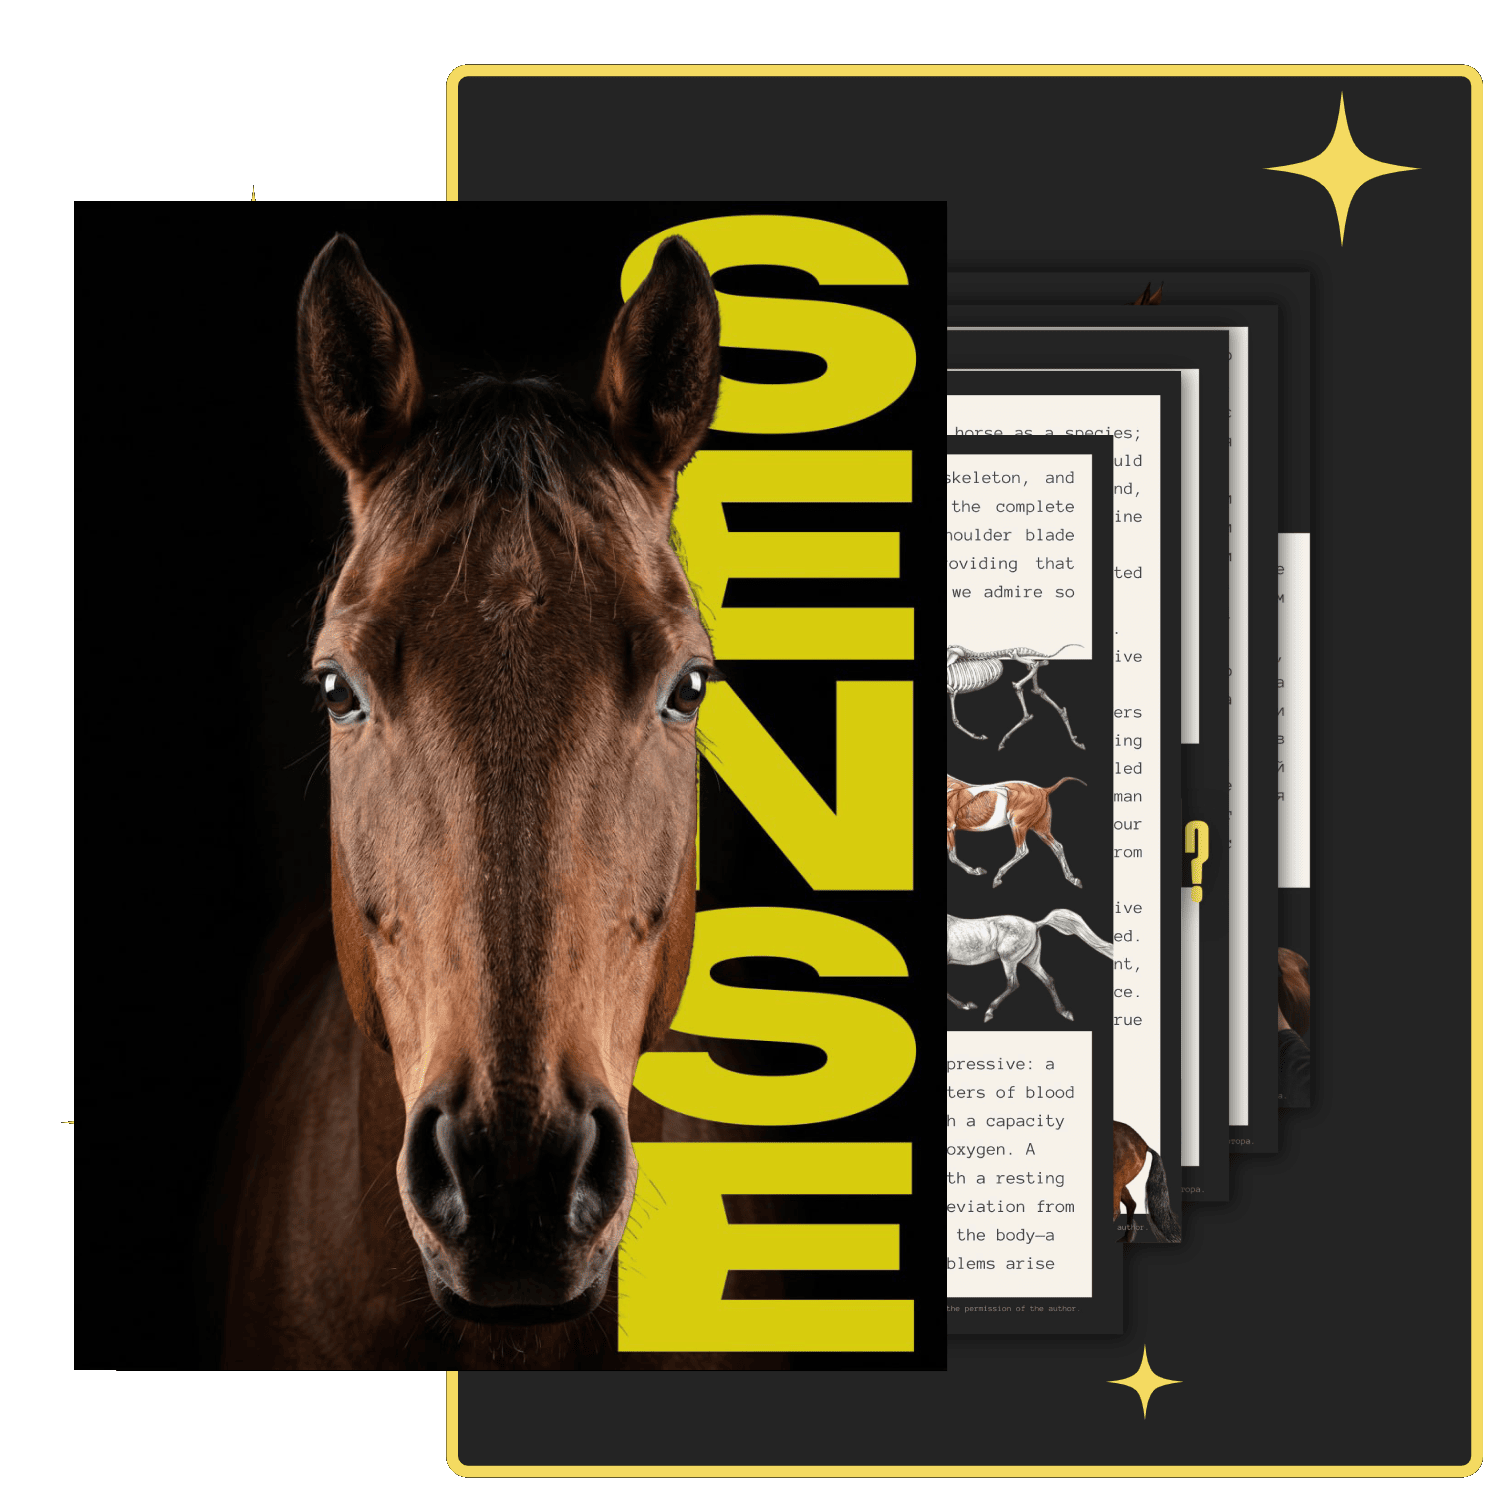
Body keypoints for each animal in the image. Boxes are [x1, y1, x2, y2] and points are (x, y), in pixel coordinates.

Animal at [945, 910, 1112, 1023]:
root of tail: (1034, 924)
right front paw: (965, 1005)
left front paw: (966, 1005)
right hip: (1031, 961)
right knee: (1048, 980)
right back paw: (1064, 1012)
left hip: (1009, 960)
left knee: (1013, 984)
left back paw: (989, 1012)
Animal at [946, 773, 1086, 888]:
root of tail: (1043, 790)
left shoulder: (950, 827)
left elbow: (952, 856)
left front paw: (976, 871)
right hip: (1041, 828)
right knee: (1058, 847)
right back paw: (1073, 879)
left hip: (1017, 825)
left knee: (1022, 850)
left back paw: (997, 878)